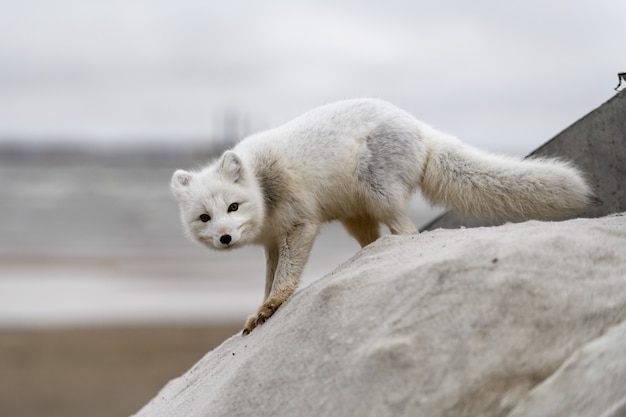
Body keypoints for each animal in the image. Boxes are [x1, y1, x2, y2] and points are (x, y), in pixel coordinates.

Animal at [169, 98, 588, 334]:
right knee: (378, 239)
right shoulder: (272, 241)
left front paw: (271, 306)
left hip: (379, 192)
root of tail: (423, 130)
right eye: (205, 218)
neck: (261, 185)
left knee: (409, 230)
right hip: (358, 215)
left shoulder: (299, 224)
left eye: (233, 207)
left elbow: (284, 280)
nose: (225, 237)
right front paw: (260, 310)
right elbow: (271, 278)